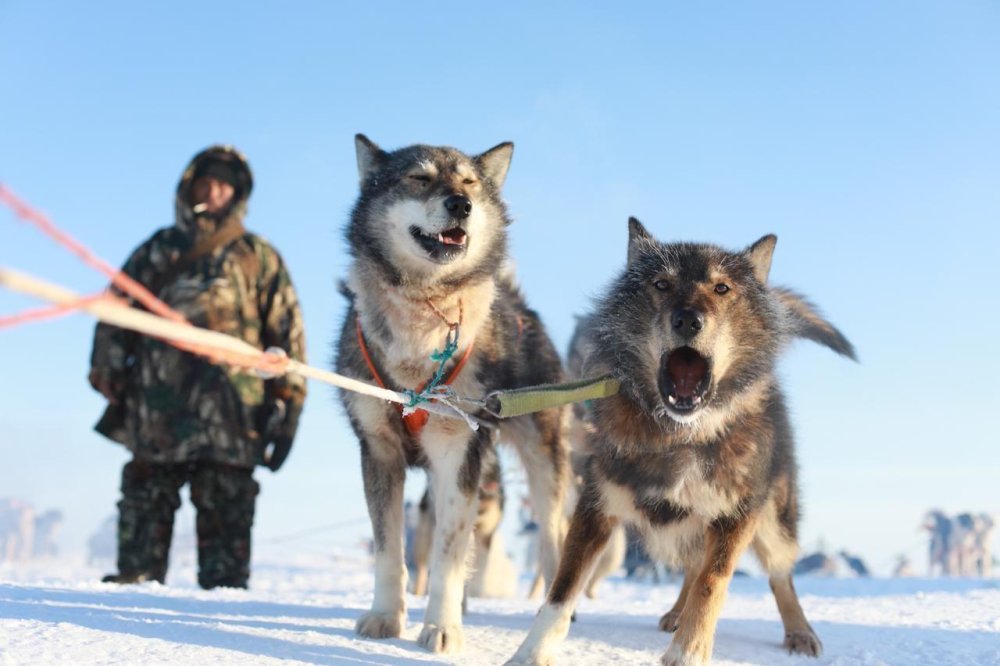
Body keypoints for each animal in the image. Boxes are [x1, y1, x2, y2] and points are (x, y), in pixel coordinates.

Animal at [338, 136, 568, 652]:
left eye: (468, 183)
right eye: (419, 178)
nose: (461, 204)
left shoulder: (457, 450)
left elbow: (448, 554)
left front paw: (441, 627)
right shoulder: (378, 452)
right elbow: (389, 550)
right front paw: (385, 616)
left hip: (543, 460)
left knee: (552, 536)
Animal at [512, 219, 856, 664]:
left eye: (722, 288)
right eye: (661, 284)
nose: (688, 320)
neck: (680, 435)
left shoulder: (736, 516)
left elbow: (712, 582)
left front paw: (689, 651)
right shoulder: (595, 510)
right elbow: (561, 591)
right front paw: (528, 653)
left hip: (773, 522)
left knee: (780, 575)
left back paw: (799, 631)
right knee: (692, 566)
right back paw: (677, 613)